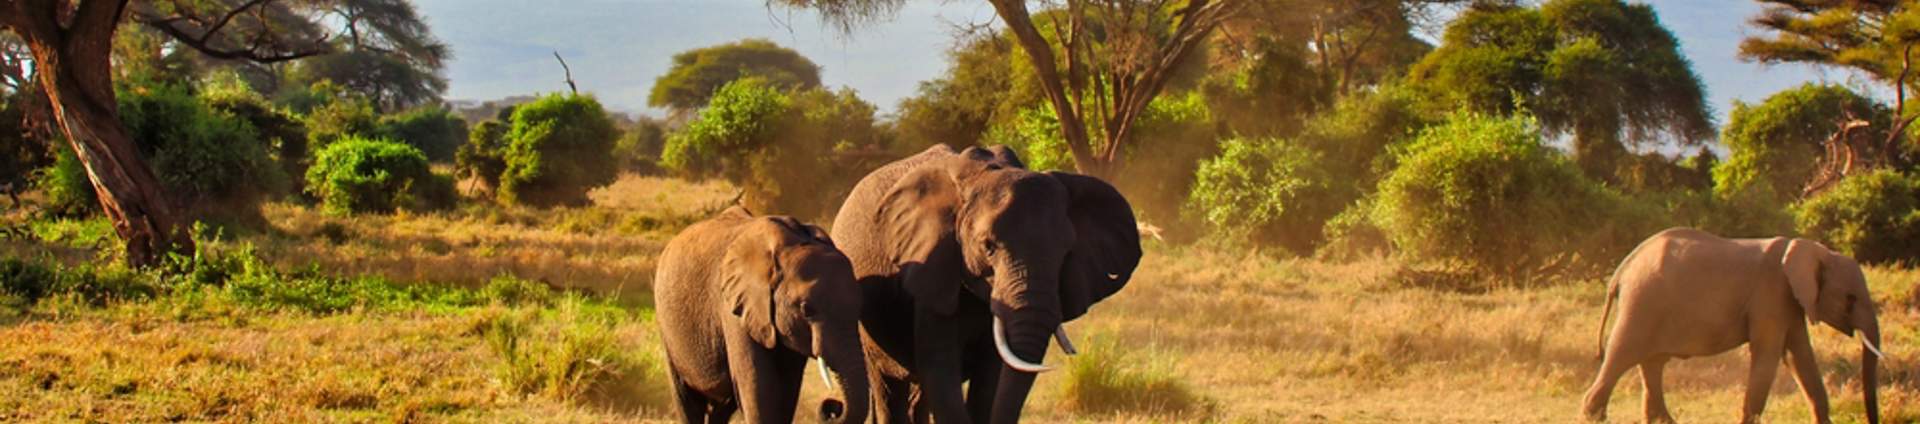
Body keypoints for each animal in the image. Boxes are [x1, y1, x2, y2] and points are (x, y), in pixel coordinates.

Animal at [653, 206, 869, 424]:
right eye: (806, 310)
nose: (832, 407)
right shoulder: (734, 310)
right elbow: (758, 388)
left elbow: (787, 390)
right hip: (667, 330)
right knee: (686, 400)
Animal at [830, 144, 1142, 423]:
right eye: (987, 247)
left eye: (1066, 251)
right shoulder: (932, 268)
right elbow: (942, 374)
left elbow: (990, 379)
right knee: (888, 389)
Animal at [1583, 227, 1882, 424]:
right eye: (1851, 299)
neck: (1816, 251)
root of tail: (1622, 269)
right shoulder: (1771, 294)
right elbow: (1769, 355)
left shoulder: (1791, 302)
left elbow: (1799, 356)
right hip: (1641, 302)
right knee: (1621, 355)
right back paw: (1592, 416)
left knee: (1652, 363)